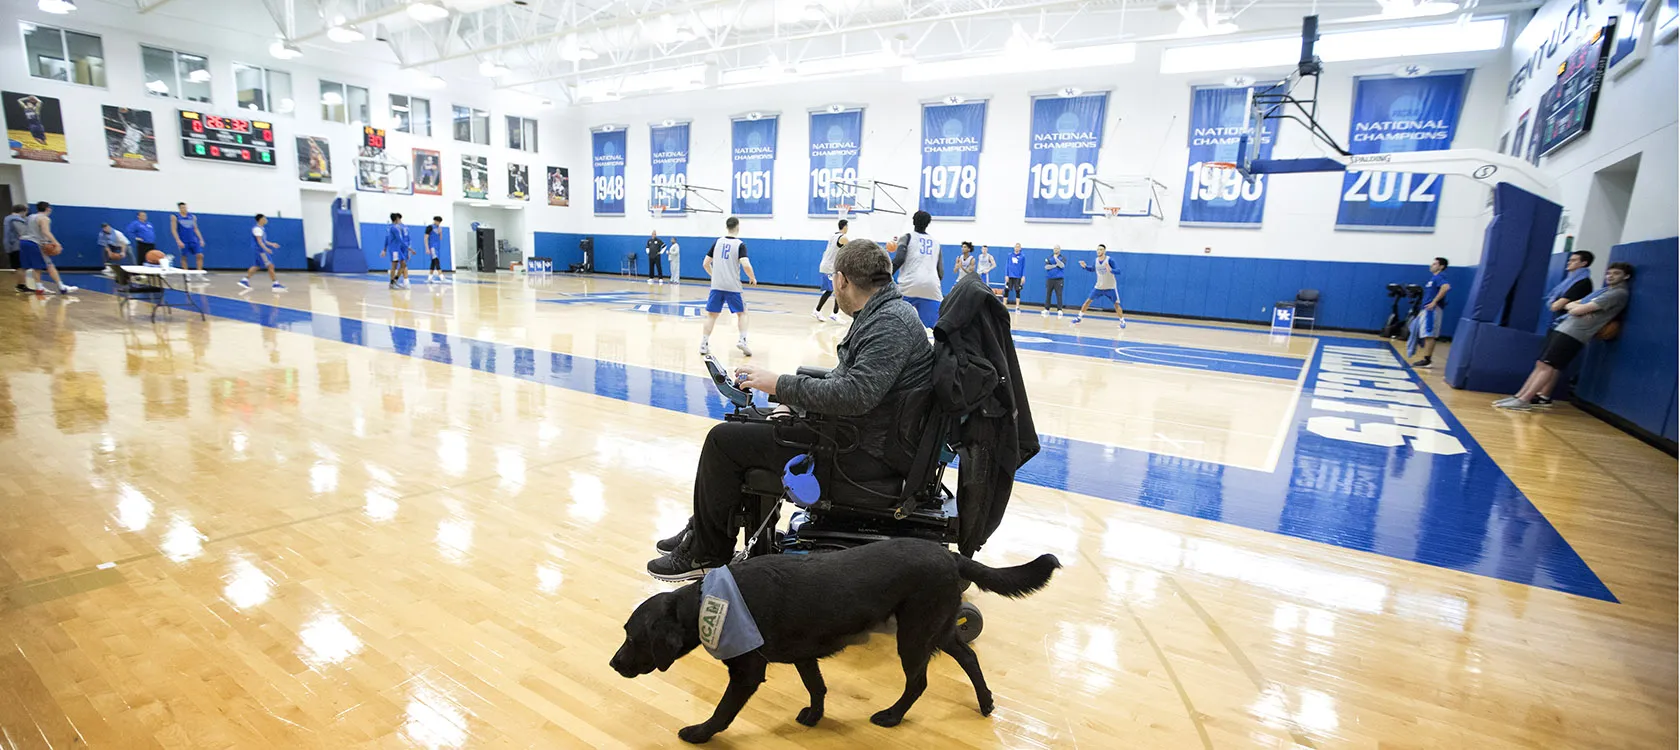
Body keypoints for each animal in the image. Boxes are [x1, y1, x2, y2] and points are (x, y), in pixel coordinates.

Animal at [611, 534, 1061, 739]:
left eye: (633, 638)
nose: (614, 664)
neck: (709, 600)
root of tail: (949, 554)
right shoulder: (804, 655)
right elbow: (817, 687)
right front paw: (815, 716)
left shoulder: (747, 672)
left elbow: (724, 711)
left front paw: (700, 734)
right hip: (939, 626)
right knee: (968, 657)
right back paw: (985, 703)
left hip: (914, 634)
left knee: (919, 682)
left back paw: (892, 716)